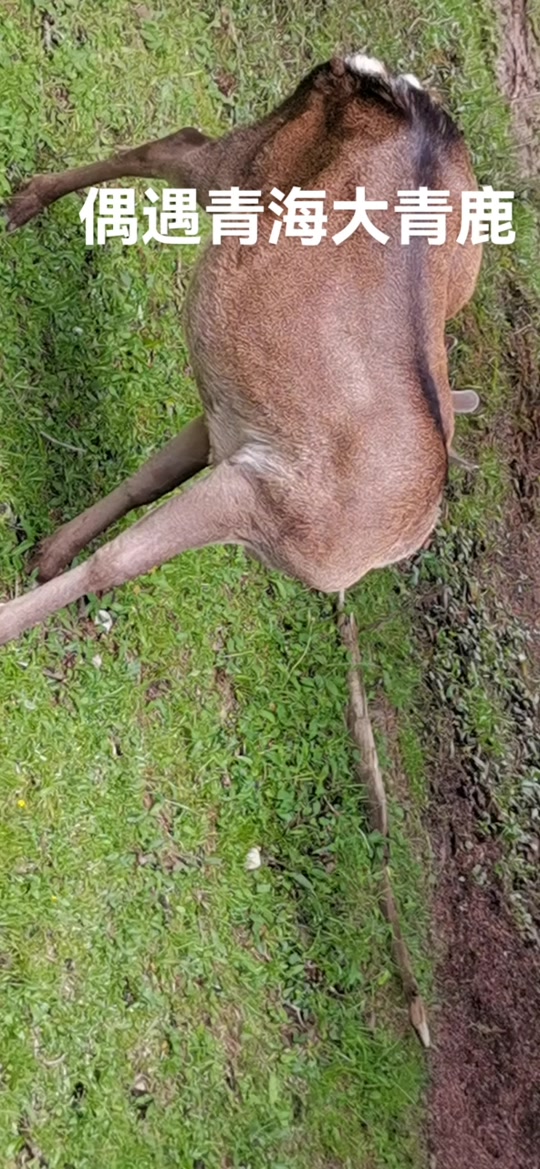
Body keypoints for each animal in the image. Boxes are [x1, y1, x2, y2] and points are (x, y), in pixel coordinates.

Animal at [0, 53, 482, 648]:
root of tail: (379, 76)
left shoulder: (230, 427)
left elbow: (145, 482)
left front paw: (49, 553)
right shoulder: (258, 496)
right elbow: (113, 564)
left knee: (180, 141)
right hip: (246, 163)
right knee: (177, 145)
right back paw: (25, 200)